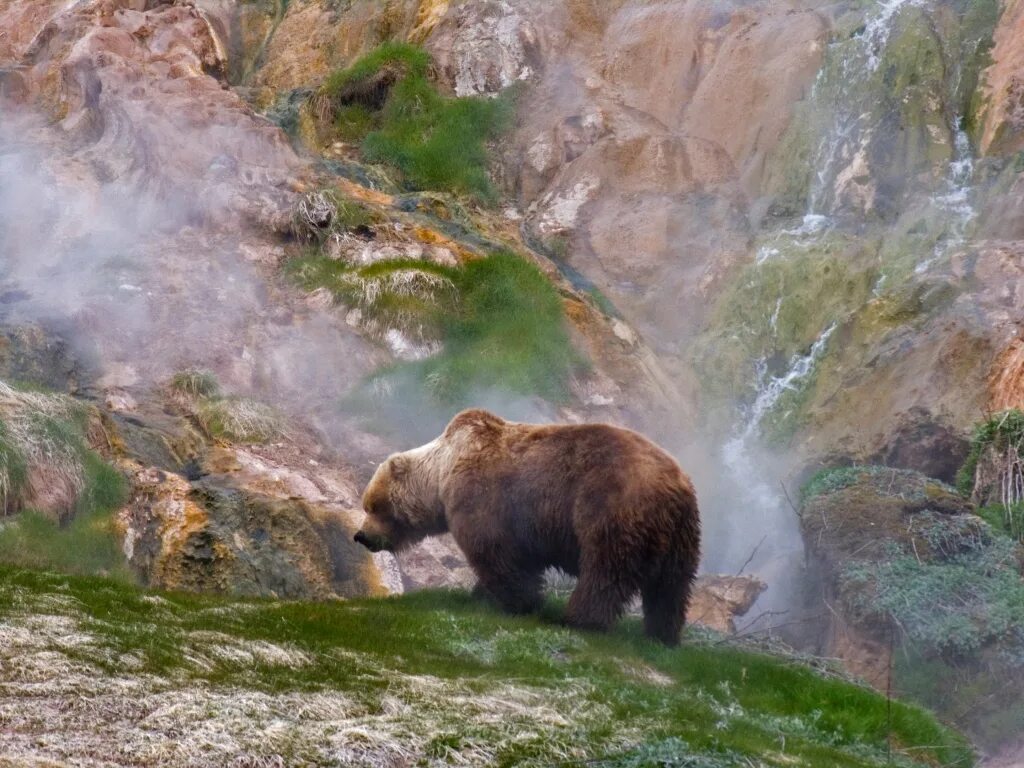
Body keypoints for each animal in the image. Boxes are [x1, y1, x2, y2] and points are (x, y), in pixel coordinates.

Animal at [356, 409, 700, 643]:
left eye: (373, 506)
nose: (361, 536)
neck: (441, 475)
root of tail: (673, 486)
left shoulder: (483, 500)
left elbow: (495, 554)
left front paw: (522, 603)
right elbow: (517, 560)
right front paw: (481, 595)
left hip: (608, 508)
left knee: (604, 573)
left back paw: (579, 620)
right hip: (680, 536)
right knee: (671, 586)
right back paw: (662, 634)